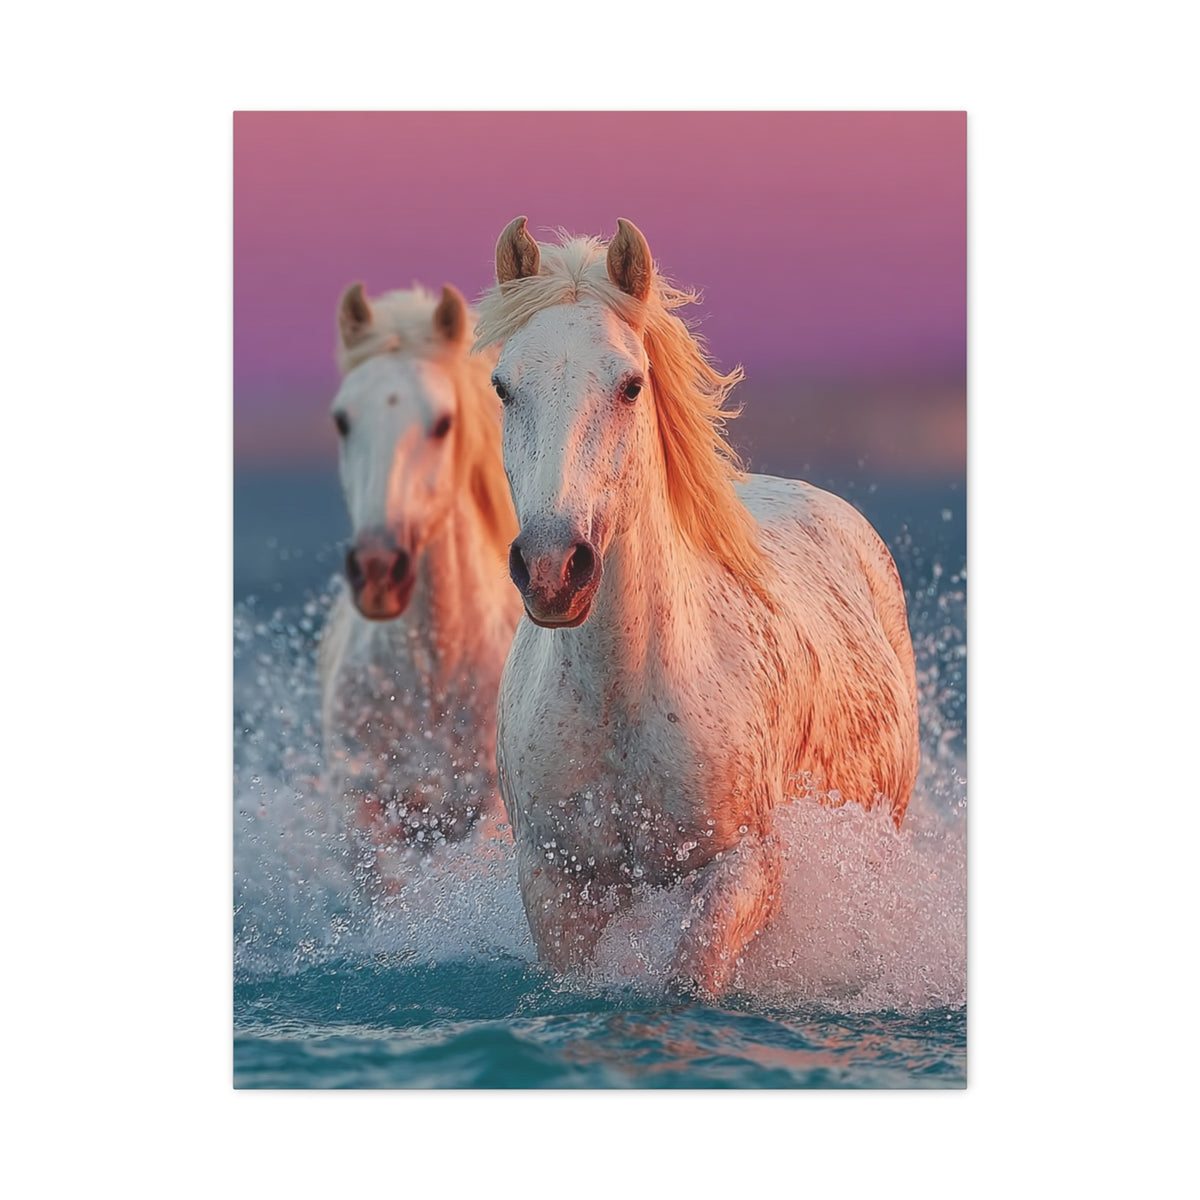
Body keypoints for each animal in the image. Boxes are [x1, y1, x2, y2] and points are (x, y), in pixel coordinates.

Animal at [474, 217, 920, 996]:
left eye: (629, 385)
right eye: (503, 387)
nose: (554, 570)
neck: (622, 695)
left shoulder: (747, 869)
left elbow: (694, 972)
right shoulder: (556, 886)